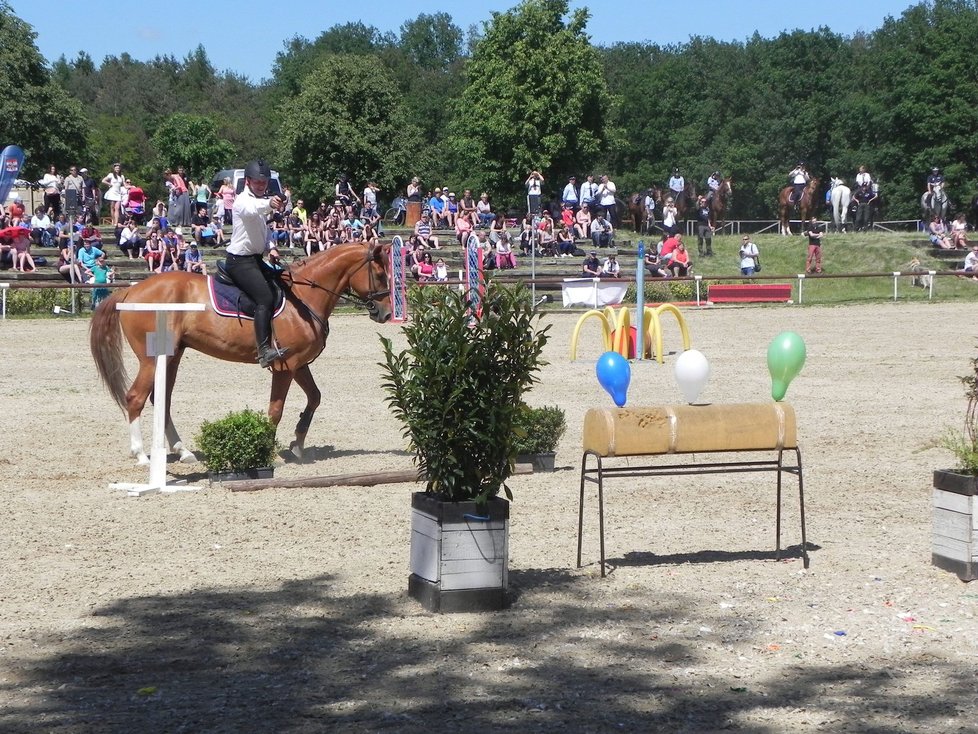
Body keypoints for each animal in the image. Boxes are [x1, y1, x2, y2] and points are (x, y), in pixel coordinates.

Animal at [89, 244, 390, 468]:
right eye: (380, 274)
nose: (385, 313)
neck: (304, 297)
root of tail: (131, 290)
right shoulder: (285, 366)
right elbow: (276, 410)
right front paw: (268, 451)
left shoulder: (299, 364)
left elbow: (314, 398)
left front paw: (297, 445)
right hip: (151, 360)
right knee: (135, 398)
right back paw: (141, 454)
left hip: (171, 357)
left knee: (162, 400)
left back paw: (183, 451)